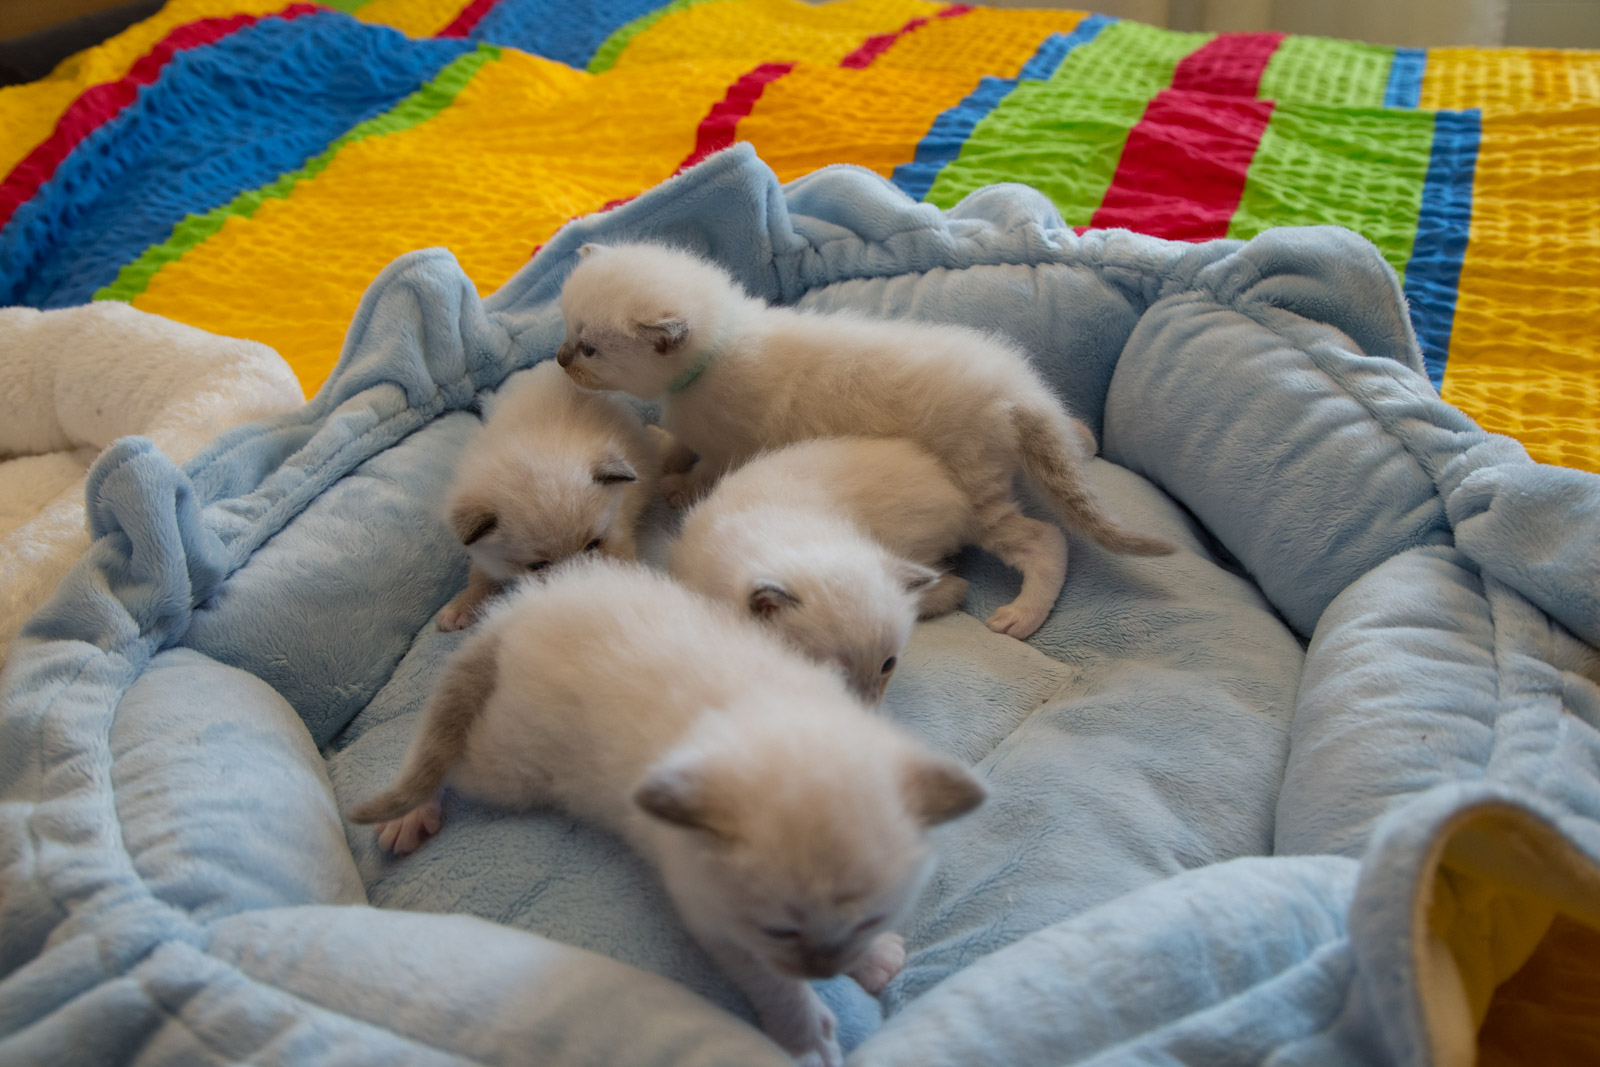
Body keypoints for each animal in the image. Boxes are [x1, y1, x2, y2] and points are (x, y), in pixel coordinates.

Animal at [349, 557, 985, 1067]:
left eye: (869, 921)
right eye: (779, 929)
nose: (824, 971)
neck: (775, 721)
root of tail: (521, 611)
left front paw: (872, 961)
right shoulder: (711, 911)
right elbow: (766, 979)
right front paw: (804, 1035)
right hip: (513, 765)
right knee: (449, 752)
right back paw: (409, 814)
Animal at [435, 360, 657, 631]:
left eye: (593, 544)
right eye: (539, 566)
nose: (578, 588)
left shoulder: (619, 532)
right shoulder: (483, 551)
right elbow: (479, 574)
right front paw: (462, 604)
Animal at [554, 241, 1173, 640]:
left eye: (590, 348)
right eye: (567, 329)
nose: (559, 359)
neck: (723, 344)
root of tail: (1018, 394)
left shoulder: (733, 445)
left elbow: (704, 467)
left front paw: (679, 484)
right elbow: (680, 444)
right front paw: (666, 449)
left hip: (975, 487)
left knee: (1046, 540)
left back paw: (1024, 614)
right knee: (1067, 441)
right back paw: (1081, 437)